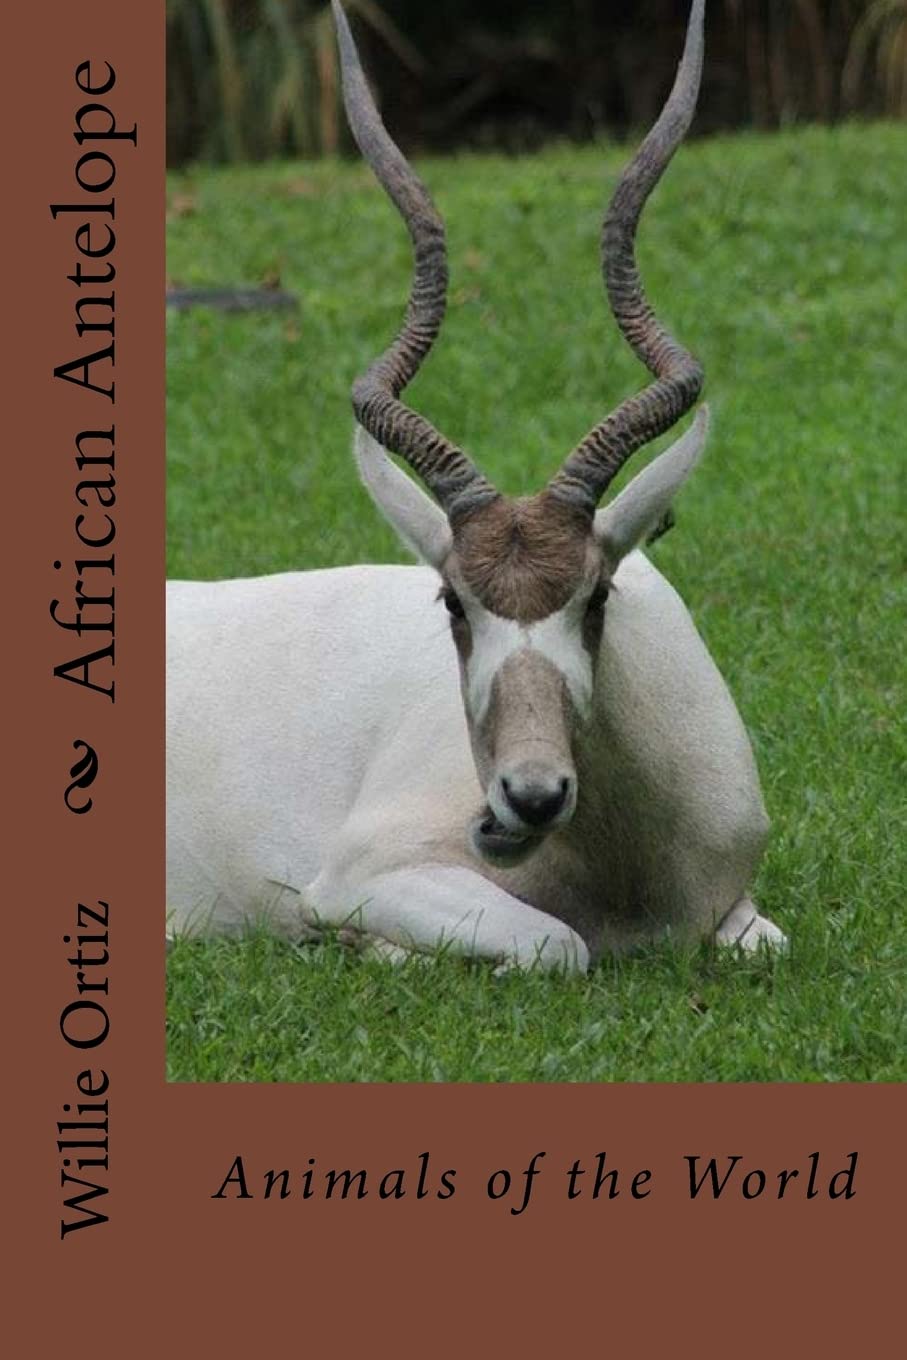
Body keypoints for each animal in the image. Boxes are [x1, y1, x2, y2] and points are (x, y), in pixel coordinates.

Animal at [166, 0, 786, 973]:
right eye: (453, 603)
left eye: (595, 599)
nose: (523, 801)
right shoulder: (358, 876)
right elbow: (558, 945)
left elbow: (764, 946)